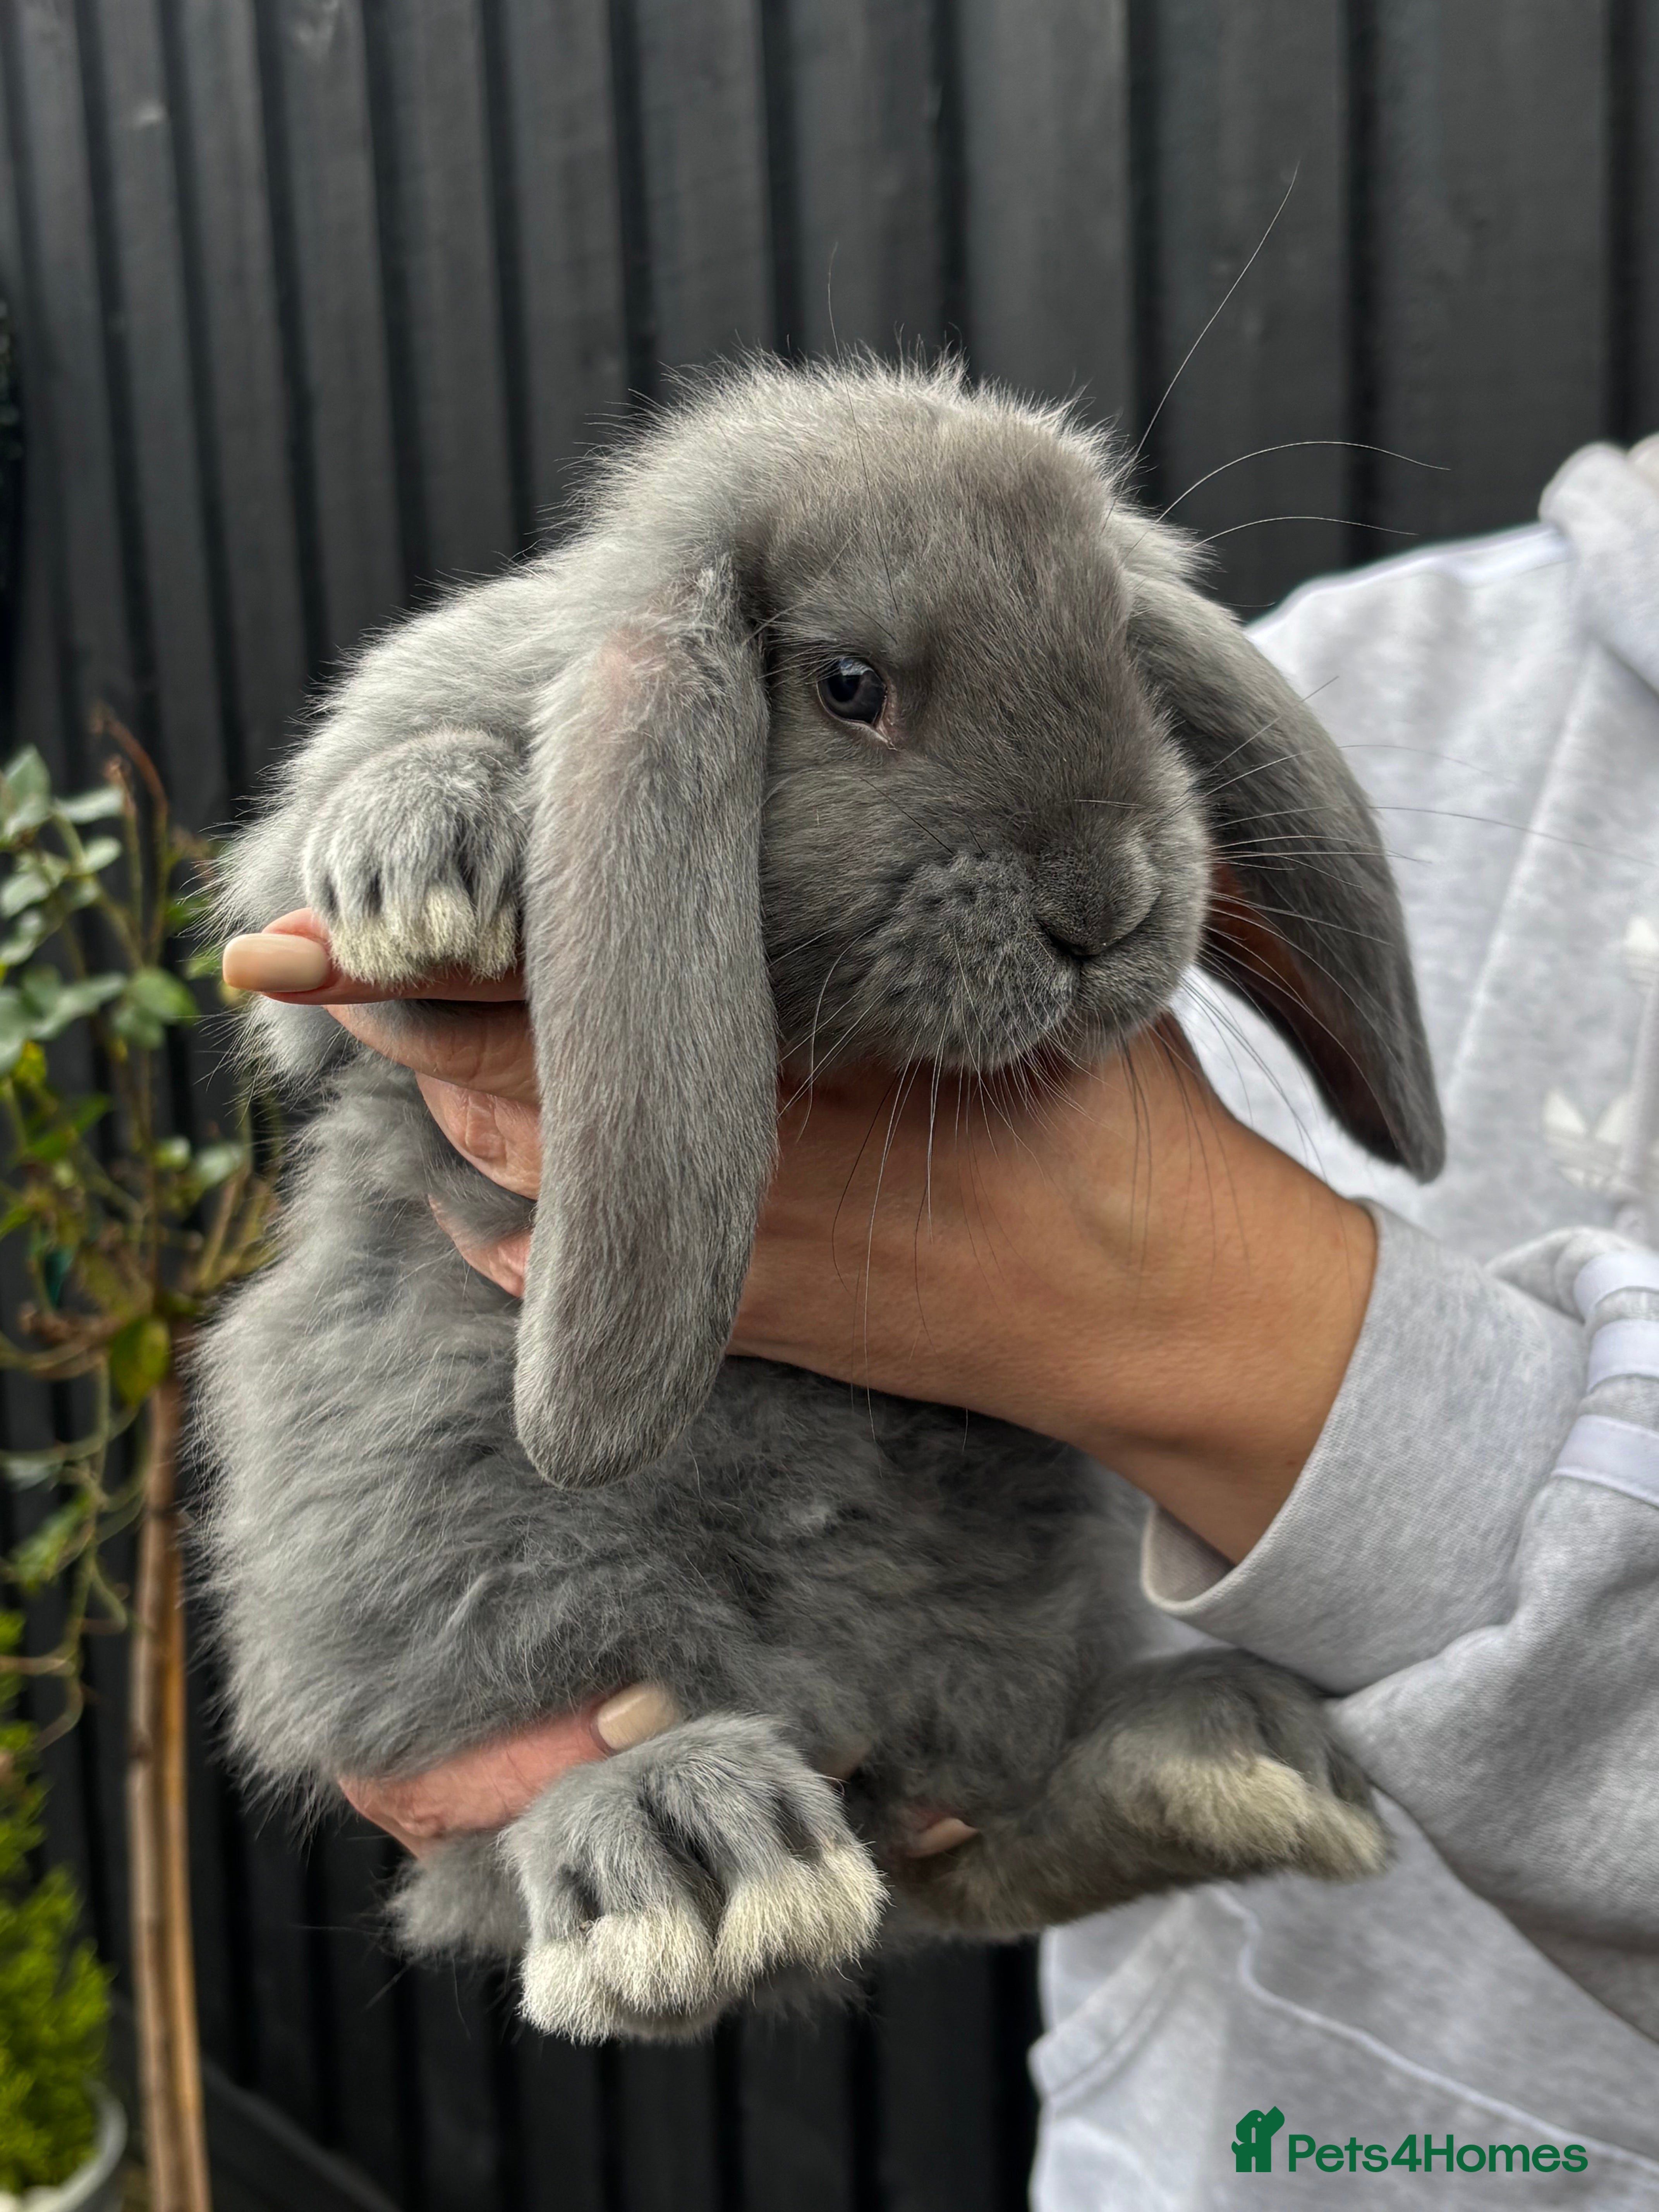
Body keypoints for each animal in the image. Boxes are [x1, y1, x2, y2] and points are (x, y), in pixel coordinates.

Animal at [198, 356, 1444, 2042]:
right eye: (851, 685)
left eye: (1121, 648)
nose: (1104, 905)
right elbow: (323, 892)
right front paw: (424, 856)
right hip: (451, 1553)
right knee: (533, 1816)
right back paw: (688, 1857)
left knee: (981, 1833)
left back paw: (1224, 1754)